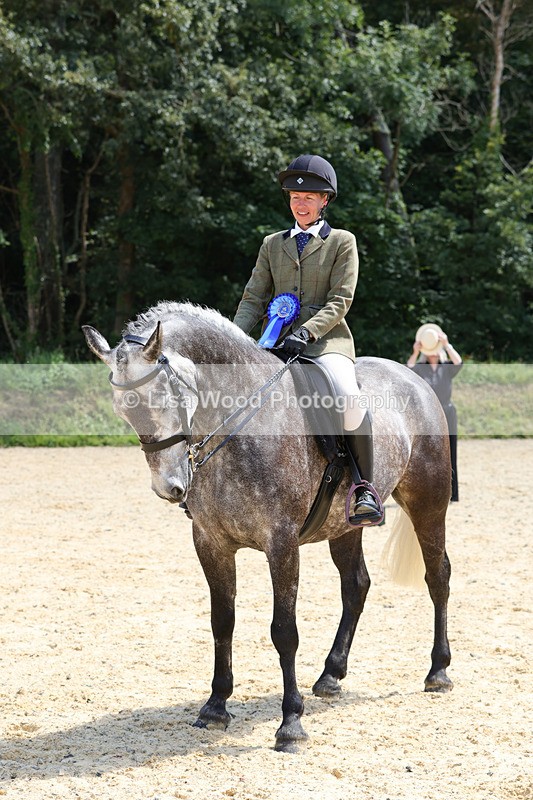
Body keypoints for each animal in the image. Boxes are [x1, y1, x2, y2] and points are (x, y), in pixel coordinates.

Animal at [83, 300, 453, 753]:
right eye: (123, 409)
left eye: (161, 398)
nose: (170, 488)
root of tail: (412, 377)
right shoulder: (211, 542)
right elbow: (222, 622)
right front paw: (215, 707)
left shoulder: (282, 543)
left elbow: (284, 631)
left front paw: (290, 724)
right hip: (344, 526)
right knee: (356, 586)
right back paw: (331, 675)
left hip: (429, 504)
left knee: (437, 576)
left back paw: (438, 671)